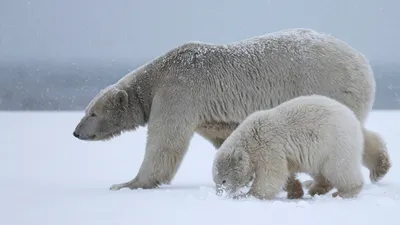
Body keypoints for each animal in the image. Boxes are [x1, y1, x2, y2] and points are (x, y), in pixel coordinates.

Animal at [72, 27, 390, 191]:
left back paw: (373, 168)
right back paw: (378, 167)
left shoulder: (178, 92)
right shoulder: (208, 113)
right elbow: (226, 138)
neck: (157, 76)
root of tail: (361, 60)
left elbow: (165, 141)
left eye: (92, 113)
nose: (75, 132)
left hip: (328, 83)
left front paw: (128, 183)